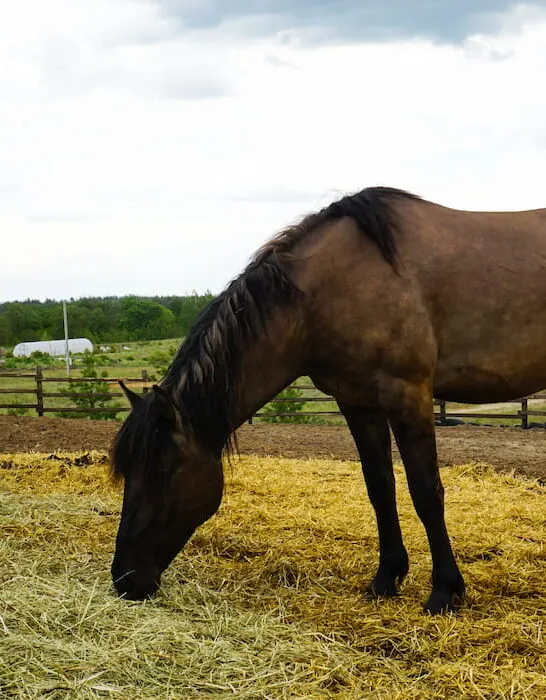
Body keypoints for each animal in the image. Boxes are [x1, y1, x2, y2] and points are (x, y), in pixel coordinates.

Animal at [110, 186, 546, 614]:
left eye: (162, 472)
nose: (125, 579)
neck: (329, 289)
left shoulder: (409, 395)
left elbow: (426, 492)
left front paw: (444, 591)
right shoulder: (358, 403)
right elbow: (379, 488)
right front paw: (386, 578)